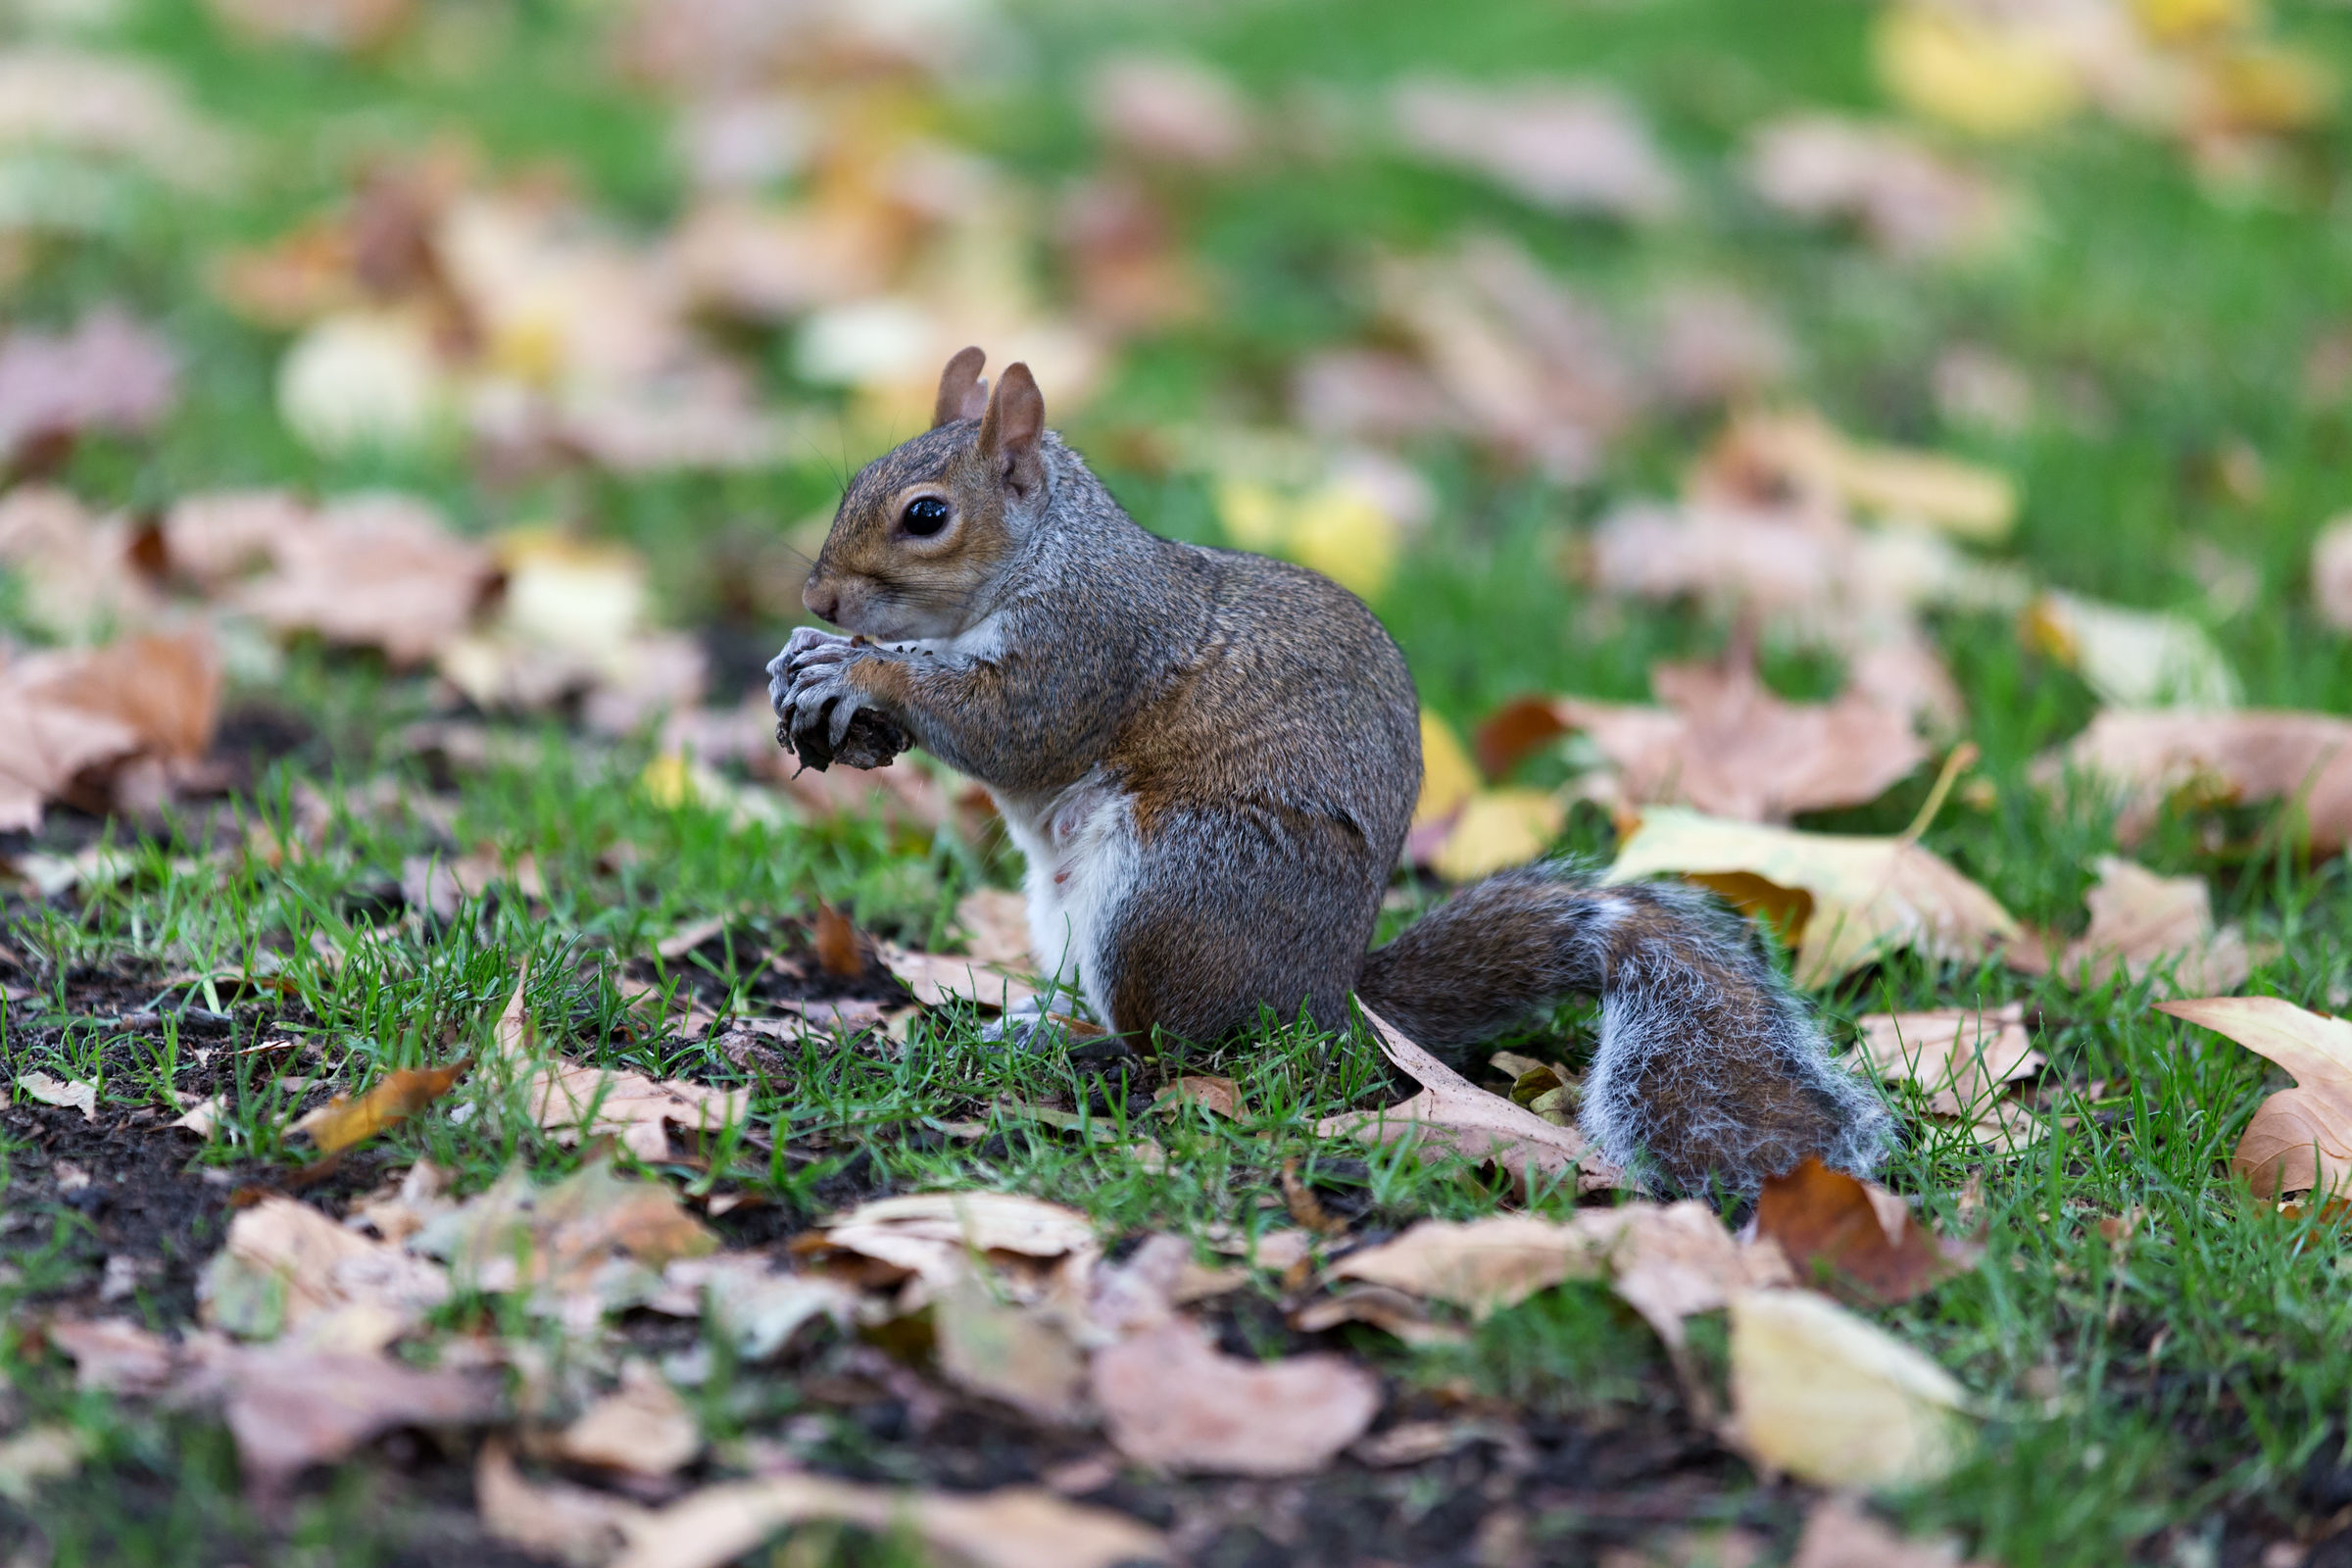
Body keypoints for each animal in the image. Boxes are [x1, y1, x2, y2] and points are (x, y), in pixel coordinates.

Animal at [769, 347, 1890, 1196]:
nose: (821, 598)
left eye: (926, 515)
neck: (1045, 556)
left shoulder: (1093, 644)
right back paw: (1039, 1022)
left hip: (1172, 887)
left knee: (1183, 1044)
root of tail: (1324, 996)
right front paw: (809, 661)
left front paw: (861, 669)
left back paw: (1084, 1053)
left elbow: (1012, 729)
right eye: (857, 482)